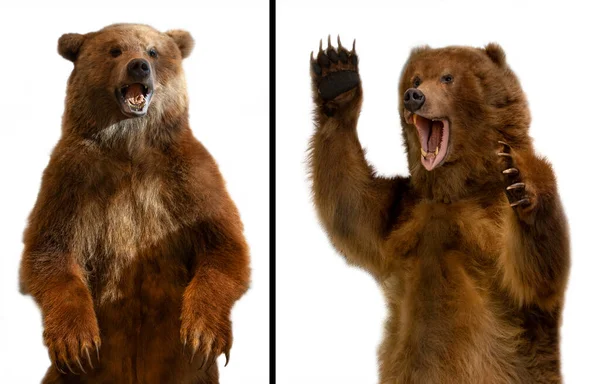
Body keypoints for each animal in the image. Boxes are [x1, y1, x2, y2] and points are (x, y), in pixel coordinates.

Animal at [20, 22, 251, 382]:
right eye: (115, 50)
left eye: (153, 51)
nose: (139, 65)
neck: (129, 146)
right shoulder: (72, 179)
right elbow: (51, 251)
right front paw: (77, 343)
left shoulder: (190, 177)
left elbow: (223, 245)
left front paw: (202, 335)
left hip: (188, 374)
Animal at [310, 38, 568, 384]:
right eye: (416, 79)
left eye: (448, 77)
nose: (414, 97)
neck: (454, 188)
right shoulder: (405, 211)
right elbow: (353, 207)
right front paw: (336, 74)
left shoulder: (492, 217)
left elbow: (534, 279)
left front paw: (520, 179)